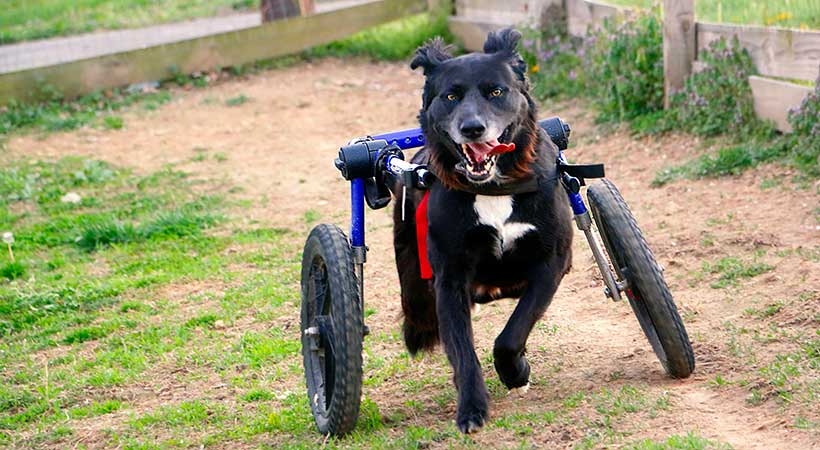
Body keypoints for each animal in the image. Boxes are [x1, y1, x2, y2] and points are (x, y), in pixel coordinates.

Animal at [394, 29, 572, 434]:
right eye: (450, 96)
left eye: (495, 91)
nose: (472, 128)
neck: (493, 187)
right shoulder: (449, 280)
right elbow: (462, 351)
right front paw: (471, 408)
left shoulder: (551, 263)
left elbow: (511, 334)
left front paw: (516, 373)